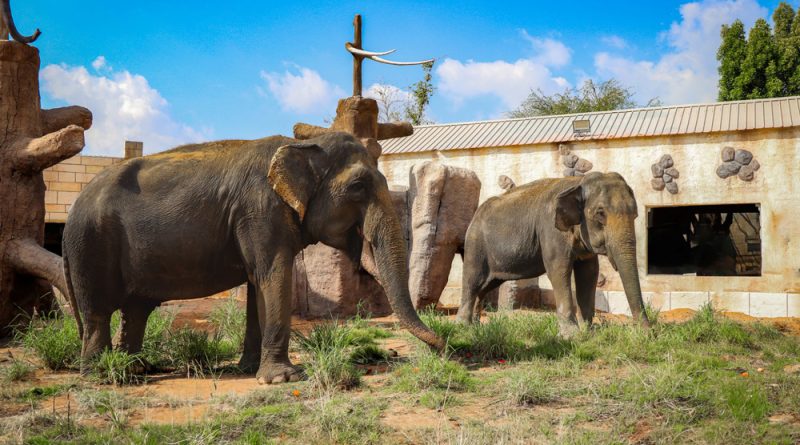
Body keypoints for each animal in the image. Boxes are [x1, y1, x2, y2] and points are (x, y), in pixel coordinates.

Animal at [64, 131, 444, 382]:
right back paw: (99, 376)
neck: (303, 145)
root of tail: (72, 209)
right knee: (98, 311)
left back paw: (135, 370)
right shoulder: (260, 209)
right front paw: (284, 379)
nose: (443, 347)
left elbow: (256, 282)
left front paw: (248, 370)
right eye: (358, 187)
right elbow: (272, 274)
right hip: (91, 244)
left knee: (136, 310)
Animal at [456, 172, 648, 334]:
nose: (647, 332)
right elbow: (559, 270)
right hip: (475, 245)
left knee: (486, 285)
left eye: (636, 214)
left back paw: (476, 327)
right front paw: (571, 336)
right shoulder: (550, 229)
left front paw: (589, 333)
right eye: (600, 213)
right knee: (473, 281)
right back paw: (464, 327)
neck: (577, 182)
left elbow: (589, 273)